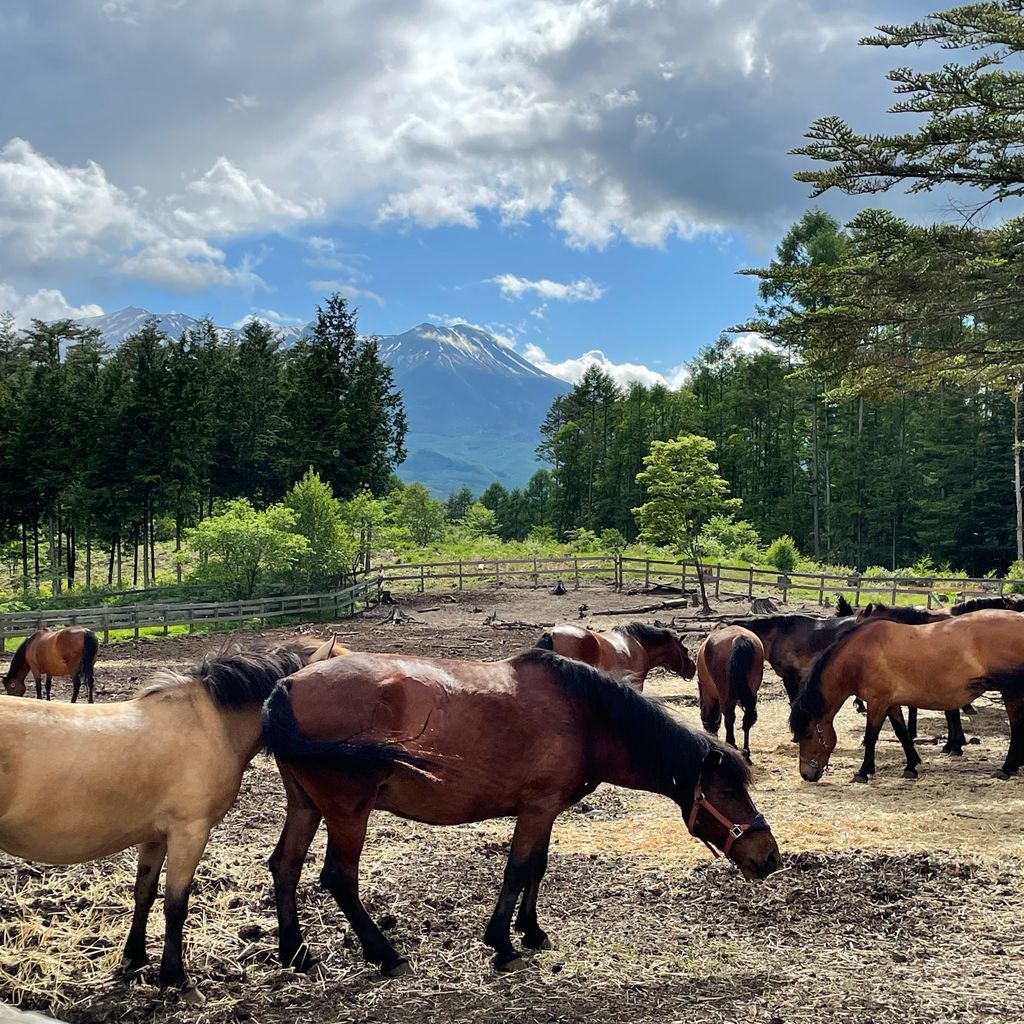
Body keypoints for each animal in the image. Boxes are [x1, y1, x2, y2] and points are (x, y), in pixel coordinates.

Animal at [0, 630, 339, 999]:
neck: (210, 722)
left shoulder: (155, 837)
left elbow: (144, 894)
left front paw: (134, 959)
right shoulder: (189, 833)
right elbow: (176, 904)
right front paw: (176, 977)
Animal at [260, 647, 778, 974]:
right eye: (729, 792)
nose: (769, 856)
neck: (585, 715)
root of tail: (286, 685)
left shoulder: (544, 810)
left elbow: (537, 867)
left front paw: (531, 931)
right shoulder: (537, 808)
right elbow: (516, 869)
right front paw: (503, 944)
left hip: (305, 805)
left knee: (285, 866)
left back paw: (295, 953)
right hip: (348, 812)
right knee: (339, 878)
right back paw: (384, 954)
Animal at [692, 622, 765, 761]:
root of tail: (739, 638)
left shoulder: (710, 695)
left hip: (726, 695)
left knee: (730, 717)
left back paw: (732, 745)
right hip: (752, 691)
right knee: (748, 719)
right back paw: (746, 752)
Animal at [786, 606, 1024, 782]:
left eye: (808, 734)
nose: (807, 775)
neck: (860, 655)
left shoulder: (877, 702)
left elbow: (871, 735)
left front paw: (863, 772)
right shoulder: (890, 703)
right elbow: (902, 733)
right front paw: (911, 766)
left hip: (1011, 692)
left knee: (1016, 728)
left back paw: (1007, 768)